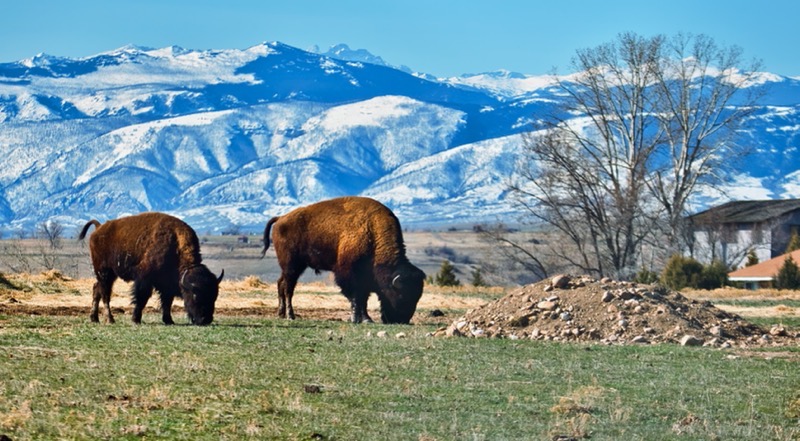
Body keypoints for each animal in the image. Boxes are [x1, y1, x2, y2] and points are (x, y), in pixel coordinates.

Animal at [79, 211, 222, 324]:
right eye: (195, 295)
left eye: (214, 296)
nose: (205, 320)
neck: (175, 244)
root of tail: (99, 228)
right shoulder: (144, 279)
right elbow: (142, 298)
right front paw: (136, 320)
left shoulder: (167, 284)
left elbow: (167, 301)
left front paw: (169, 320)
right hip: (105, 272)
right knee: (105, 294)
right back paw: (110, 319)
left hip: (108, 274)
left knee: (96, 289)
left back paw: (94, 318)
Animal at [260, 196, 424, 324]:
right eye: (401, 295)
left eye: (417, 297)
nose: (401, 320)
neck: (372, 231)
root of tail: (281, 218)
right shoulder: (348, 274)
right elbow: (356, 298)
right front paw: (357, 319)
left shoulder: (365, 279)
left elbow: (363, 299)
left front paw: (366, 319)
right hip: (292, 266)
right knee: (288, 288)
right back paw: (290, 315)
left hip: (292, 267)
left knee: (281, 283)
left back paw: (281, 314)